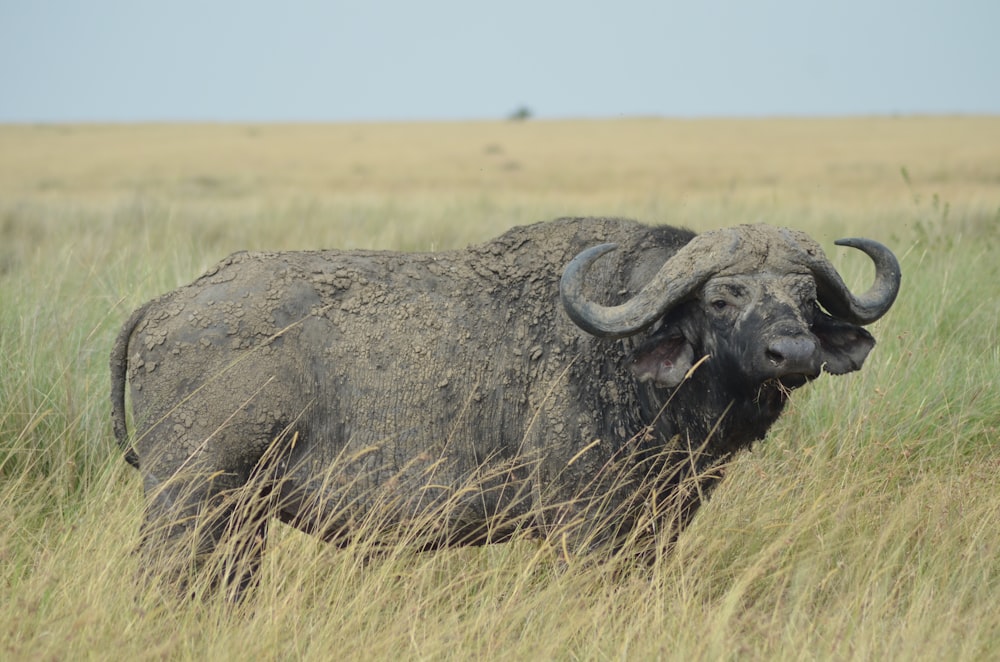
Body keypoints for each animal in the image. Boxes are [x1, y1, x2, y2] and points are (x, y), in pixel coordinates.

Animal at [107, 218, 900, 596]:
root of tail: (169, 302)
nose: (792, 352)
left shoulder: (660, 523)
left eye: (804, 295)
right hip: (190, 498)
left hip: (240, 516)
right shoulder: (585, 527)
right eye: (723, 297)